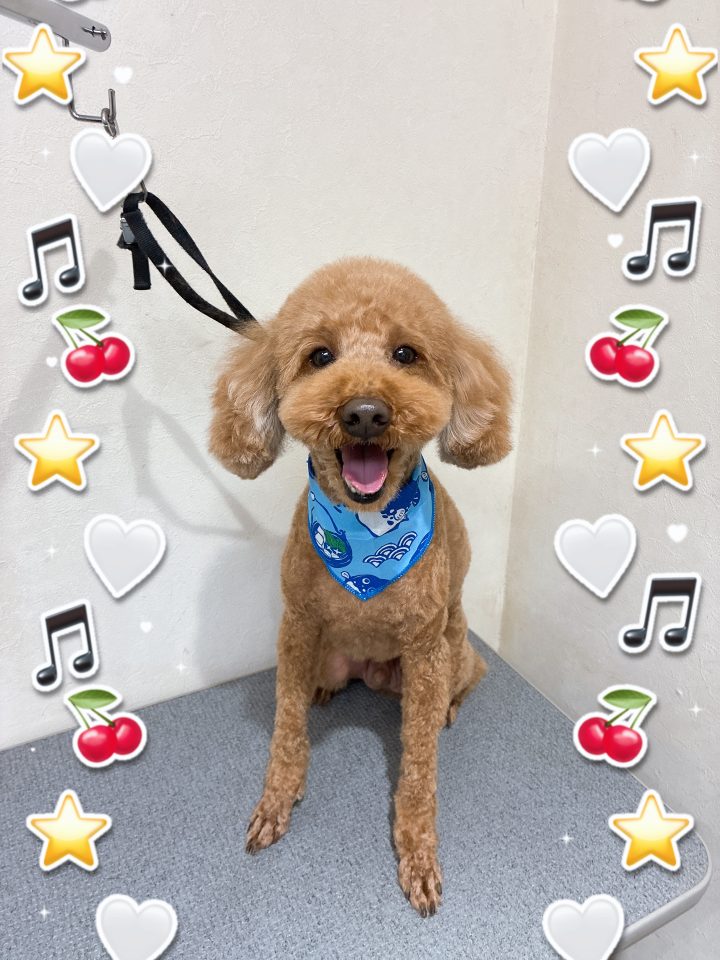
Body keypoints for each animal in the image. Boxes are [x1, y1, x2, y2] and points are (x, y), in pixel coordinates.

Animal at [209, 257, 511, 916]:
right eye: (320, 356)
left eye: (406, 353)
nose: (366, 412)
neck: (368, 535)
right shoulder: (297, 627)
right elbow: (286, 726)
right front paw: (276, 801)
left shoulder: (424, 649)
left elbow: (419, 769)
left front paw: (418, 854)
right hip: (328, 654)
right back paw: (325, 690)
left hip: (454, 652)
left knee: (465, 681)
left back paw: (450, 709)